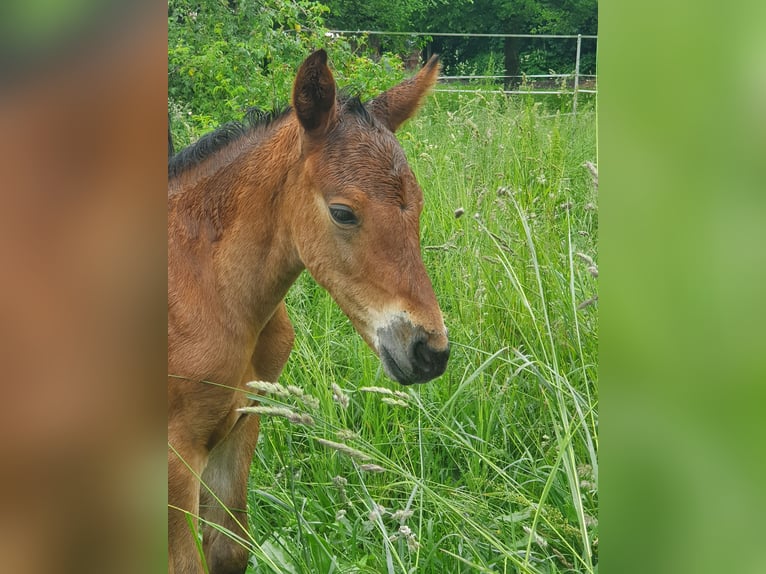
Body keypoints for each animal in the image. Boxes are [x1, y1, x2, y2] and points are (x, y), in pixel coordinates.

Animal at [165, 50, 448, 574]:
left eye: (417, 205)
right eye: (343, 212)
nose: (429, 351)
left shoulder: (241, 424)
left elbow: (230, 549)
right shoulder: (175, 456)